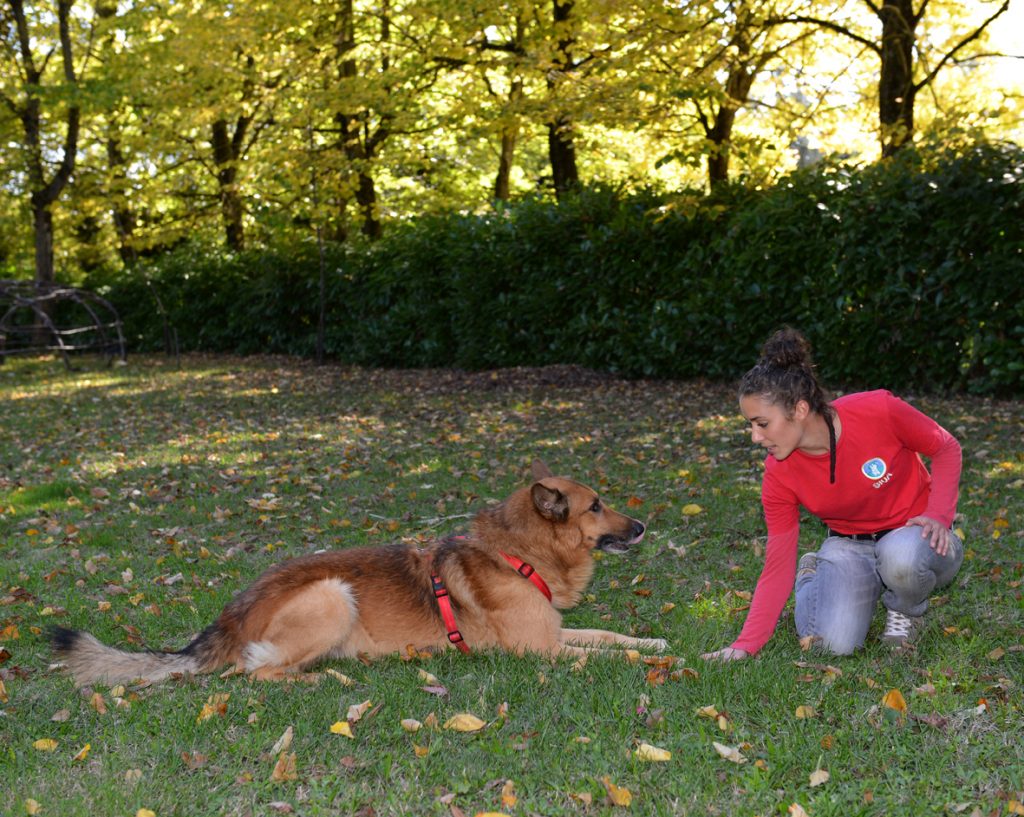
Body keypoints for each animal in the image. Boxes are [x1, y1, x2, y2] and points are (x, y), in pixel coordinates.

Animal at [51, 460, 667, 683]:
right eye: (595, 506)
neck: (519, 554)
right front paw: (657, 660)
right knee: (256, 671)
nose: (641, 527)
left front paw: (655, 641)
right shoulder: (539, 649)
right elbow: (602, 654)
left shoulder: (555, 630)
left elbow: (609, 634)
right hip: (331, 595)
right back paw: (327, 679)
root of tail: (231, 613)